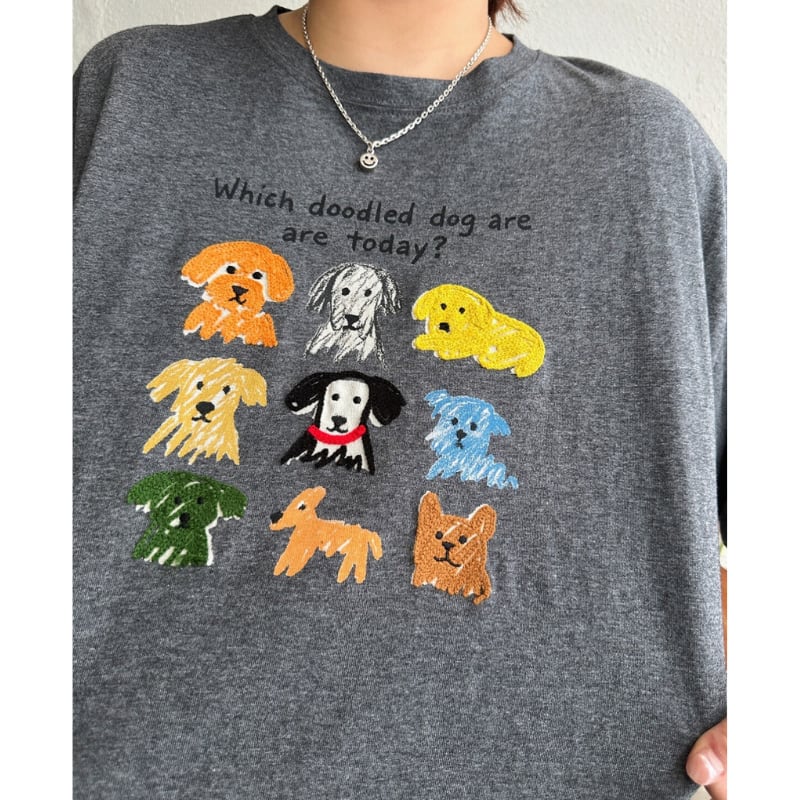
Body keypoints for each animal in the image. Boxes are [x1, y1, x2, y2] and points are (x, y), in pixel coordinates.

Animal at [412, 283, 545, 378]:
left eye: (462, 310)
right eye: (442, 305)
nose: (444, 326)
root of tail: (537, 342)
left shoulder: (467, 341)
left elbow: (442, 340)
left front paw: (424, 340)